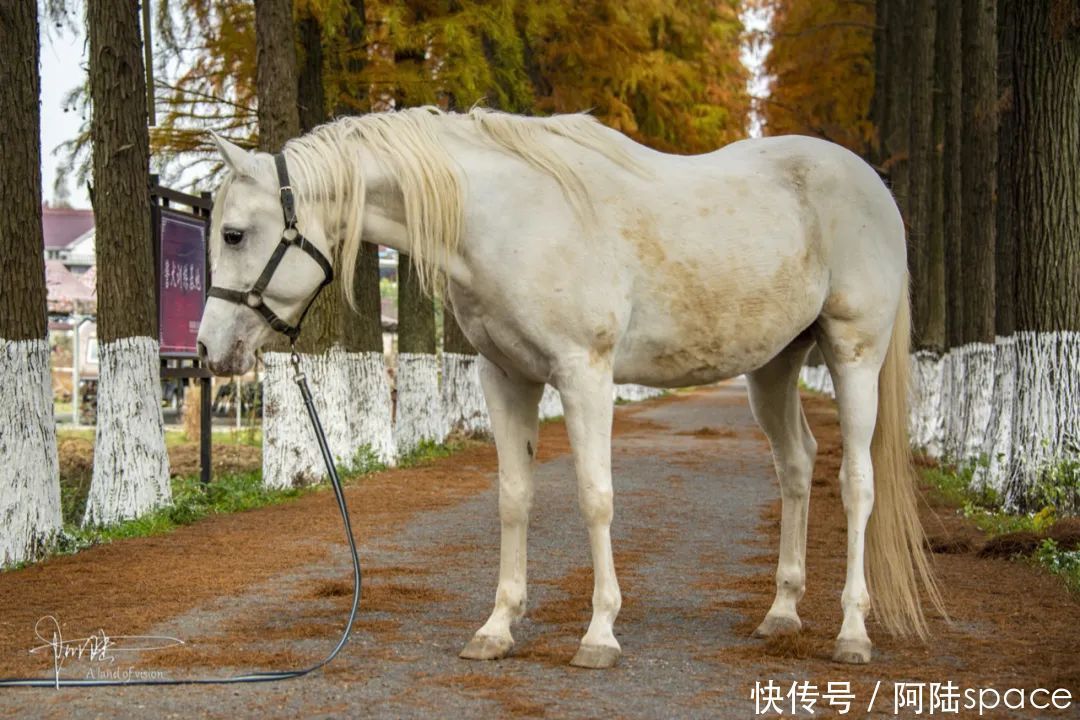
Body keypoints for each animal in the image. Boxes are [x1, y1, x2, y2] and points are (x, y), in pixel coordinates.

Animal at [196, 107, 944, 668]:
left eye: (233, 233)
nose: (207, 351)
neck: (507, 216)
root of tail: (873, 186)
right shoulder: (506, 378)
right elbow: (513, 498)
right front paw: (497, 628)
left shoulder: (585, 375)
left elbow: (595, 497)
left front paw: (600, 633)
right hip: (774, 366)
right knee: (795, 465)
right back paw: (782, 613)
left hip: (853, 354)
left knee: (856, 482)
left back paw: (852, 632)